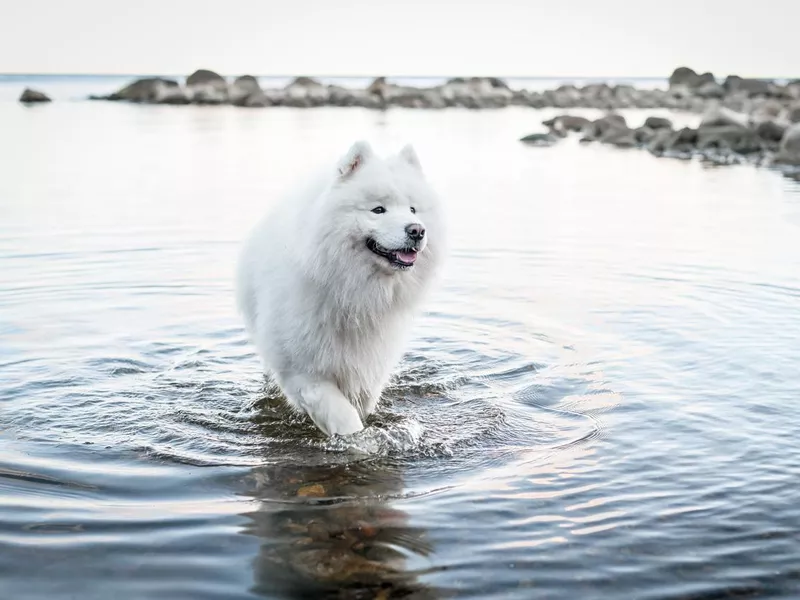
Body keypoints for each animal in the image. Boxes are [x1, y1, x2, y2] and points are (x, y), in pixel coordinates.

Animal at [238, 144, 446, 438]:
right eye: (378, 209)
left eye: (413, 209)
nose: (417, 230)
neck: (354, 290)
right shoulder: (304, 370)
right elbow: (342, 416)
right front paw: (360, 441)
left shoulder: (369, 365)